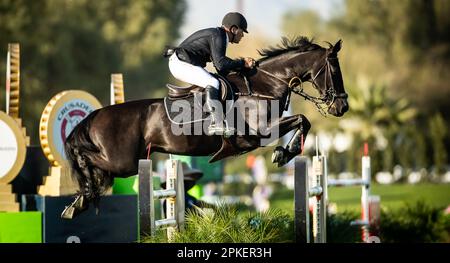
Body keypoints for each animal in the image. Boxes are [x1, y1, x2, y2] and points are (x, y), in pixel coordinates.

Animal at [60, 36, 348, 219]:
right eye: (334, 70)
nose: (342, 107)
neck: (264, 86)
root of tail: (94, 116)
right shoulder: (261, 132)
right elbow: (302, 119)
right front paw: (283, 153)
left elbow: (302, 121)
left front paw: (284, 152)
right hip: (123, 161)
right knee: (86, 158)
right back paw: (82, 196)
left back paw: (78, 202)